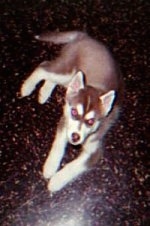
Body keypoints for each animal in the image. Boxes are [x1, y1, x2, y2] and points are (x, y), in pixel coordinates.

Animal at [20, 30, 123, 192]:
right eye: (74, 112)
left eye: (91, 121)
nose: (75, 137)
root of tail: (85, 37)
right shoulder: (65, 121)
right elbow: (58, 145)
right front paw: (50, 167)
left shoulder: (94, 150)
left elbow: (73, 166)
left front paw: (56, 180)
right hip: (67, 70)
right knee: (43, 67)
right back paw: (27, 87)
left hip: (69, 77)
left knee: (57, 81)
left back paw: (44, 92)